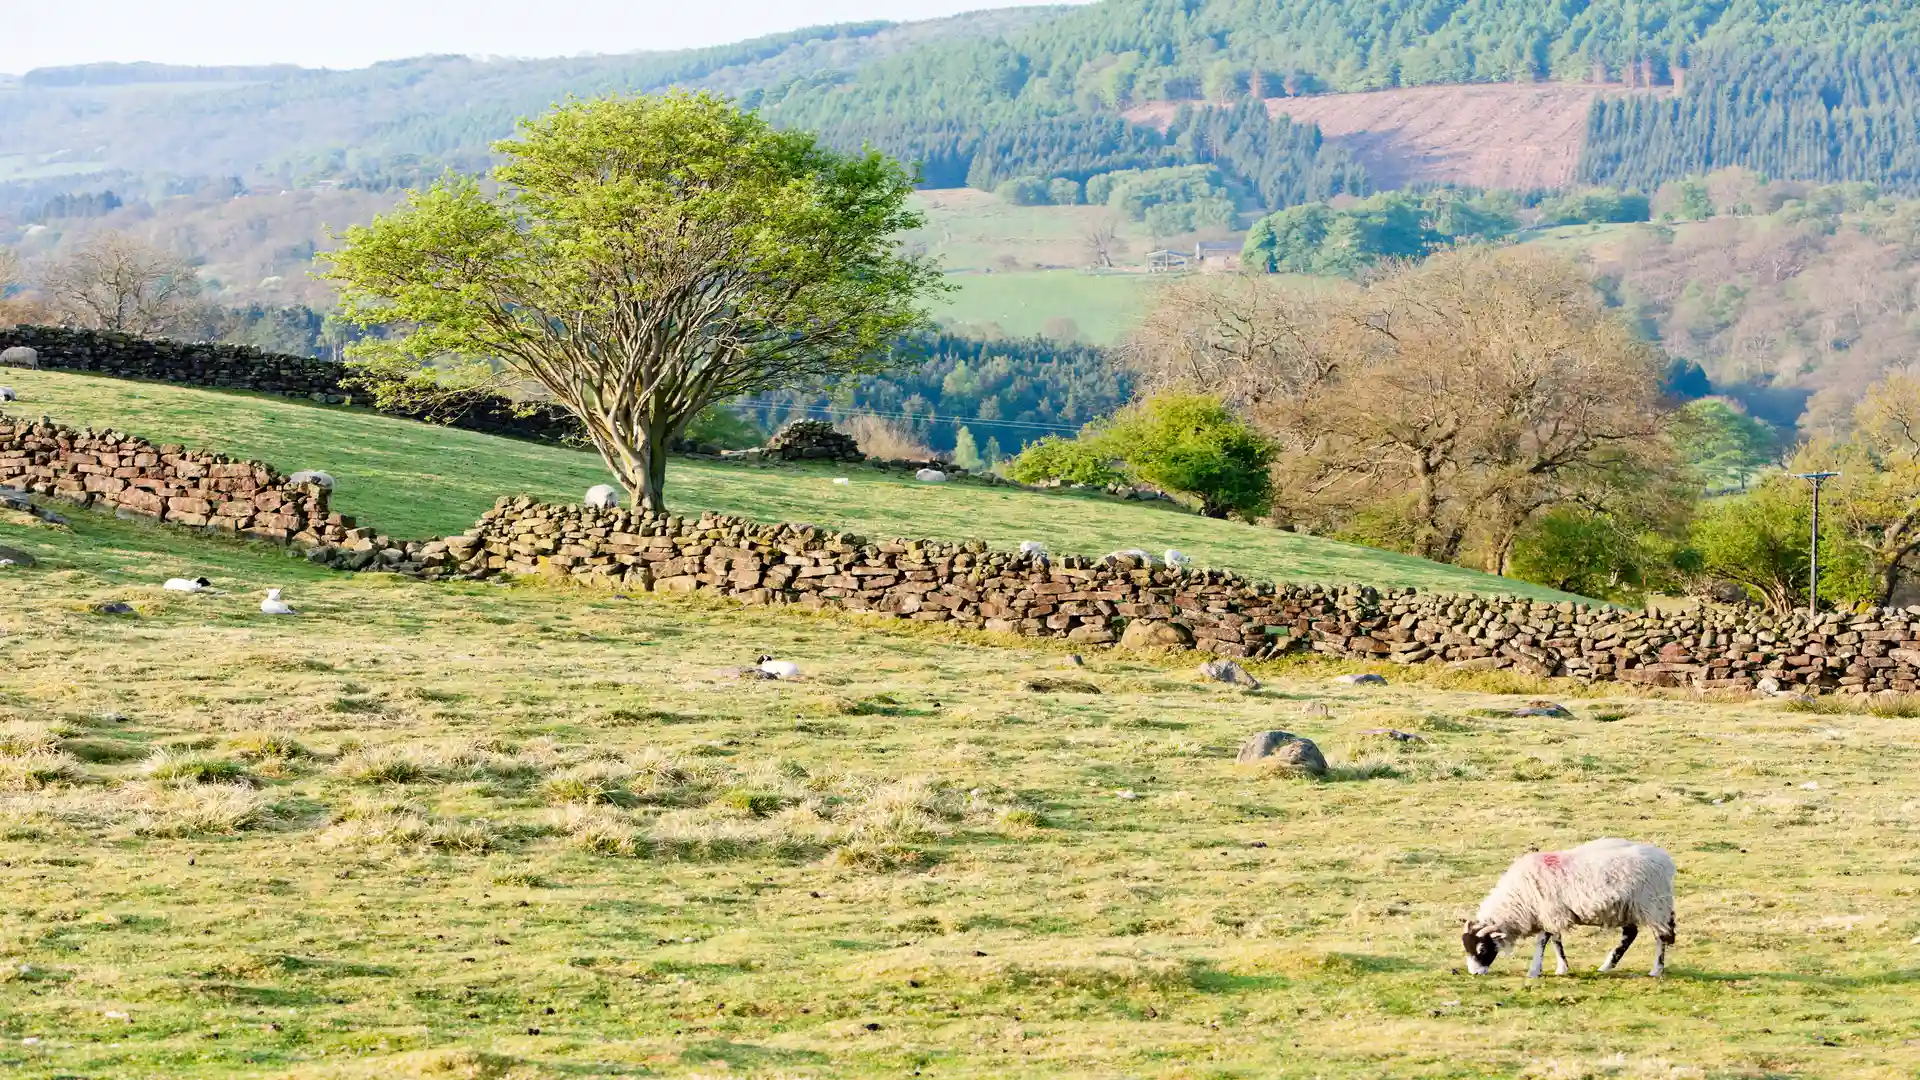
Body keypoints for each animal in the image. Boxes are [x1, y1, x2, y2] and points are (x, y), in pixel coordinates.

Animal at [1462, 837, 1676, 979]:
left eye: (1482, 949)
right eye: (1467, 948)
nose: (1475, 973)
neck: (1518, 897)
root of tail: (1665, 860)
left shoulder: (1549, 912)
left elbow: (1543, 941)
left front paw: (1534, 971)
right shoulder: (1554, 914)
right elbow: (1557, 941)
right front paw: (1561, 968)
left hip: (1653, 904)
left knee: (1660, 937)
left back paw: (1656, 970)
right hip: (1626, 907)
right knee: (1630, 934)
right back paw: (1606, 966)